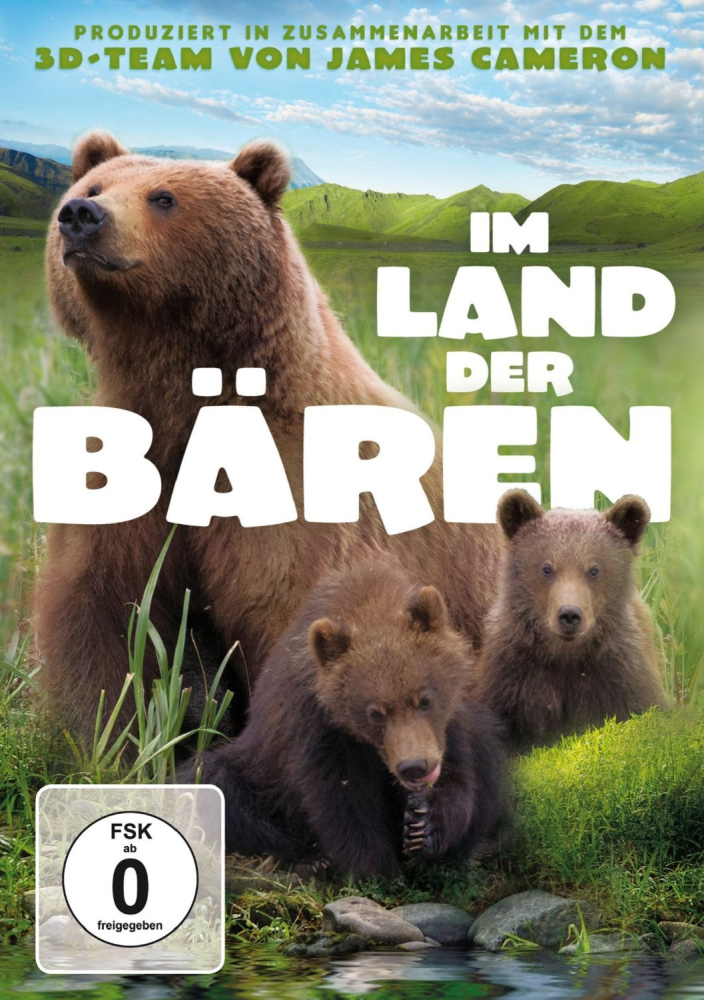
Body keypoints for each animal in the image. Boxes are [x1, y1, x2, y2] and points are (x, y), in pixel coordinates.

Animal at [38, 130, 501, 740]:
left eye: (163, 197)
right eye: (95, 186)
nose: (80, 216)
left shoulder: (297, 494)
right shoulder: (129, 470)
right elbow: (106, 618)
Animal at [184, 556, 505, 878]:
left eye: (424, 699)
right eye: (375, 713)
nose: (414, 766)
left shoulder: (451, 725)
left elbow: (461, 780)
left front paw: (422, 826)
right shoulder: (320, 730)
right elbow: (343, 803)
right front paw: (377, 867)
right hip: (258, 766)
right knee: (219, 784)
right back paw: (310, 858)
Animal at [474, 489, 670, 751]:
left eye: (594, 569)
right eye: (546, 568)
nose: (569, 614)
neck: (565, 656)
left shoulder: (621, 675)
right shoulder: (512, 678)